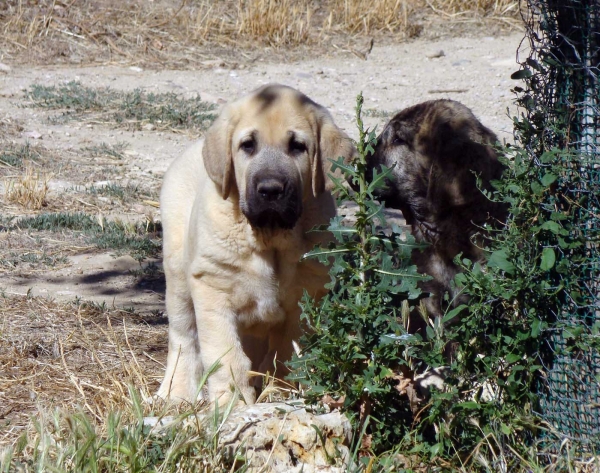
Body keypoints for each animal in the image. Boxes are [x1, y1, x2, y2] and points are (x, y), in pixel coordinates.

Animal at [156, 84, 356, 402]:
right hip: (177, 273)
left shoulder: (304, 299)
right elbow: (227, 357)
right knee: (183, 335)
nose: (270, 190)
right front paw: (233, 404)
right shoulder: (213, 287)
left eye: (298, 146)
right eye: (247, 145)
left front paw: (280, 392)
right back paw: (176, 392)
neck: (269, 237)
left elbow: (286, 354)